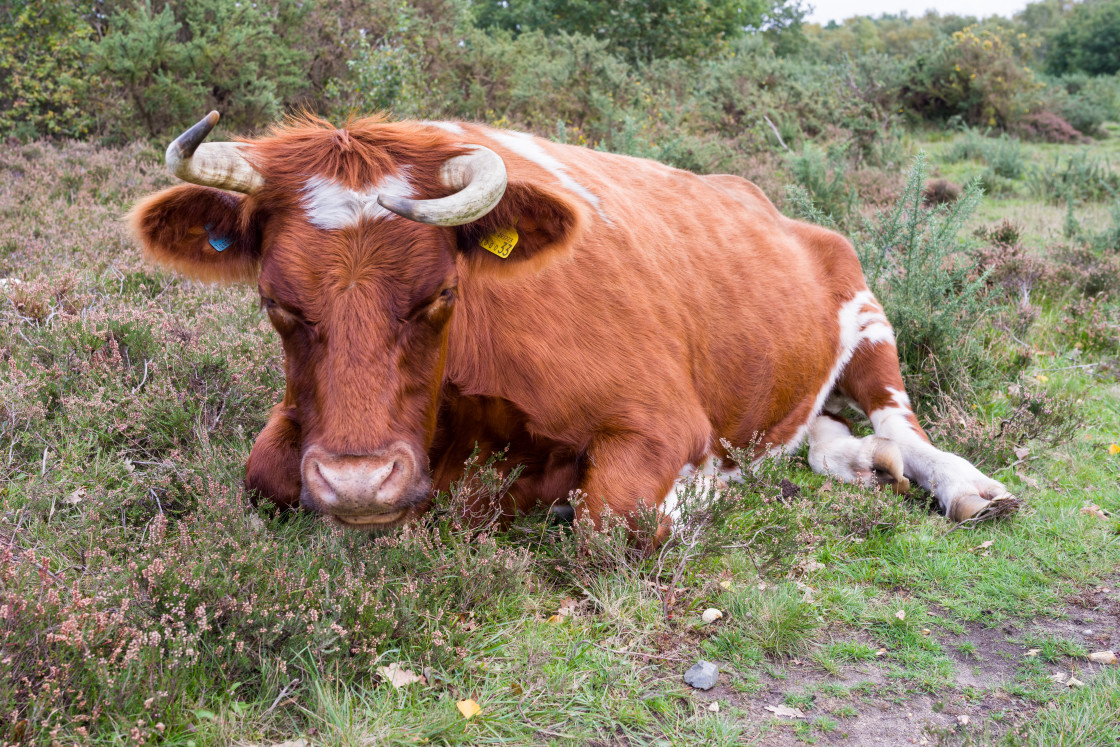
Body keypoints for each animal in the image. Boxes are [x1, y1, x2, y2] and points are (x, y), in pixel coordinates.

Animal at [128, 110, 1016, 535]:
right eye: (277, 303)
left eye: (440, 295)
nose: (357, 483)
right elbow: (263, 472)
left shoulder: (663, 416)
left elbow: (610, 517)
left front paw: (691, 492)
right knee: (821, 435)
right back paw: (859, 463)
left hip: (867, 313)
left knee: (902, 423)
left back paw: (969, 487)